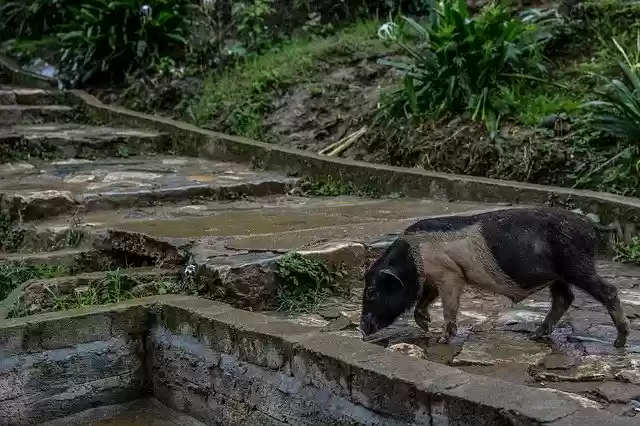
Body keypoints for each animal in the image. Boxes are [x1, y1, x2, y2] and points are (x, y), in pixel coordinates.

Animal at [360, 208, 632, 348]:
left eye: (371, 292)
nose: (362, 329)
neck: (413, 258)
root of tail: (590, 227)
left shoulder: (450, 274)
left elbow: (449, 305)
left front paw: (441, 338)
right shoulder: (433, 277)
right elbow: (423, 299)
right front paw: (426, 324)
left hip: (577, 264)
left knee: (608, 290)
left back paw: (619, 342)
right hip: (560, 275)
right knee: (564, 298)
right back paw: (536, 335)